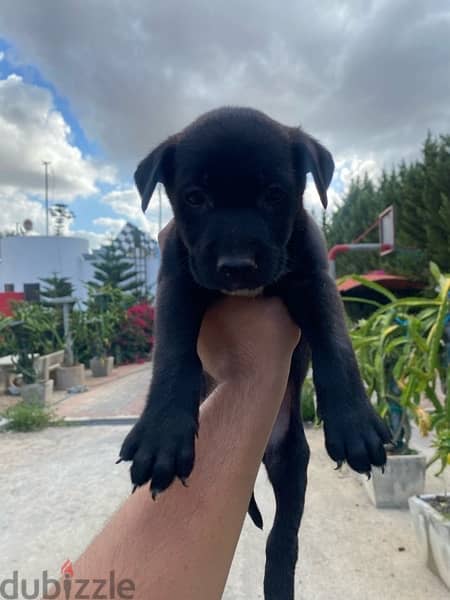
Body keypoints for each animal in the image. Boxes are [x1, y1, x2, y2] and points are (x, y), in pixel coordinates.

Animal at [120, 108, 390, 600]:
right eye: (195, 198)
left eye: (274, 194)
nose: (236, 266)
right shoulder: (177, 283)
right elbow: (173, 356)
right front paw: (163, 434)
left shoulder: (315, 279)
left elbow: (336, 345)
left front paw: (354, 423)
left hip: (292, 462)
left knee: (283, 538)